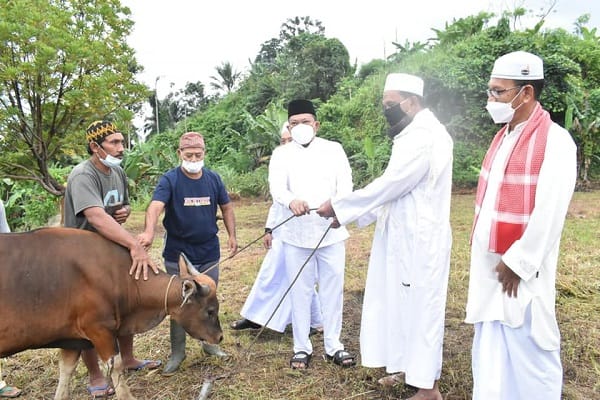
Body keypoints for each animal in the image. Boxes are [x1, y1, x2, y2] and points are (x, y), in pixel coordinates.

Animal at [0, 228, 223, 400]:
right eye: (210, 310)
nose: (220, 337)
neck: (118, 276)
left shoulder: (72, 339)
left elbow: (65, 371)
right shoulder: (99, 331)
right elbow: (117, 368)